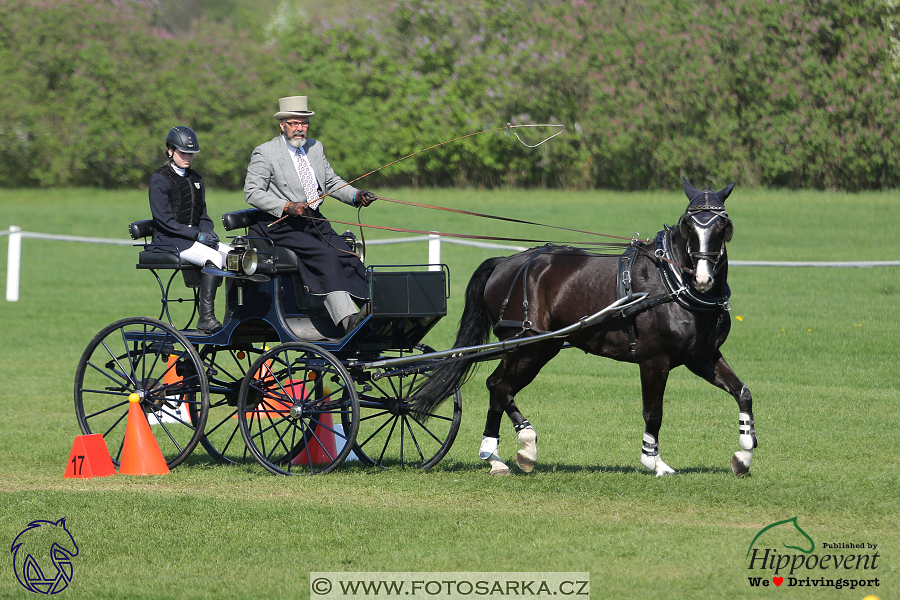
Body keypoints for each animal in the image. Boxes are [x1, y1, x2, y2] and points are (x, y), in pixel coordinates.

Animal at [414, 178, 760, 478]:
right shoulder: (654, 360)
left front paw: (743, 455)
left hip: (541, 347)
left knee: (499, 386)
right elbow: (654, 412)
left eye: (723, 225)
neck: (671, 281)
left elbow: (742, 392)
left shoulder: (702, 356)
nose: (703, 278)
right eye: (689, 225)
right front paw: (654, 462)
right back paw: (516, 448)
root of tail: (505, 263)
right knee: (498, 386)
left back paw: (503, 455)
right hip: (527, 345)